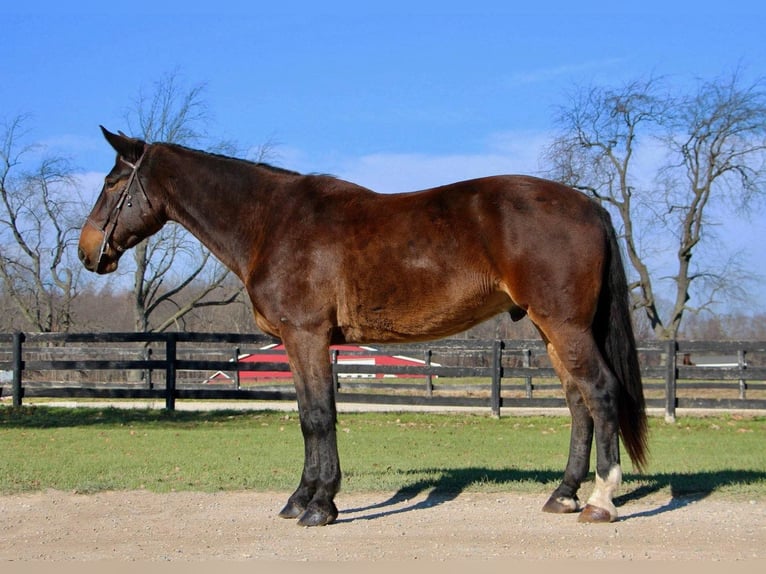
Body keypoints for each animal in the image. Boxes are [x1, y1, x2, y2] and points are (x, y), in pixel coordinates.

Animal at [79, 128, 648, 528]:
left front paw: (320, 506)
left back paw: (601, 501)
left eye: (112, 184)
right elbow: (310, 416)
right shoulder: (303, 343)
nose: (87, 252)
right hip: (553, 332)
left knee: (600, 393)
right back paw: (563, 495)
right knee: (578, 404)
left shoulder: (305, 335)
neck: (271, 221)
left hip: (566, 327)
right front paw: (301, 499)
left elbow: (317, 418)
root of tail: (588, 204)